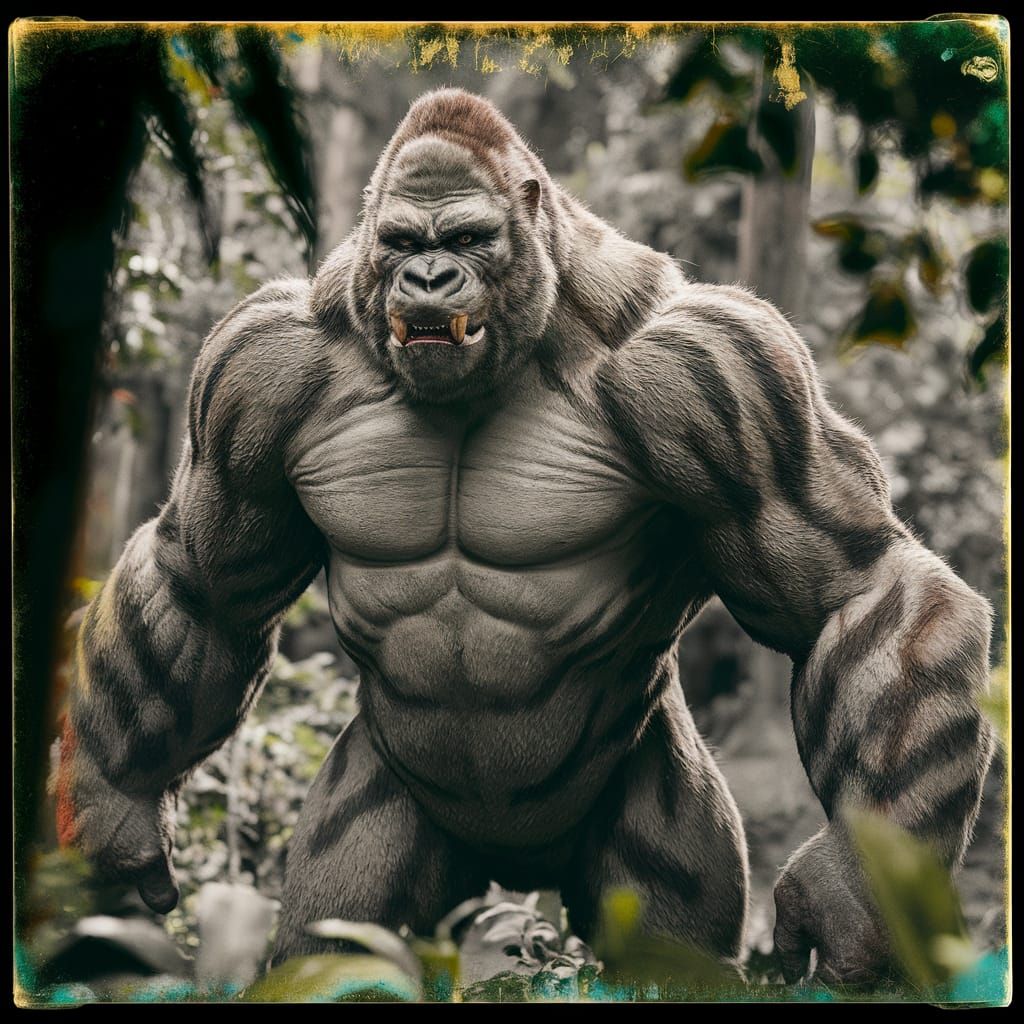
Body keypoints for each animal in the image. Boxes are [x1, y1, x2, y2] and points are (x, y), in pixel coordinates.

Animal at [53, 88, 995, 984]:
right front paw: (115, 807)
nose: (430, 276)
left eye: (469, 238)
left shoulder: (726, 369)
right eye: (402, 241)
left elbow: (856, 589)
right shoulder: (249, 372)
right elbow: (200, 589)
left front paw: (856, 893)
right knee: (345, 930)